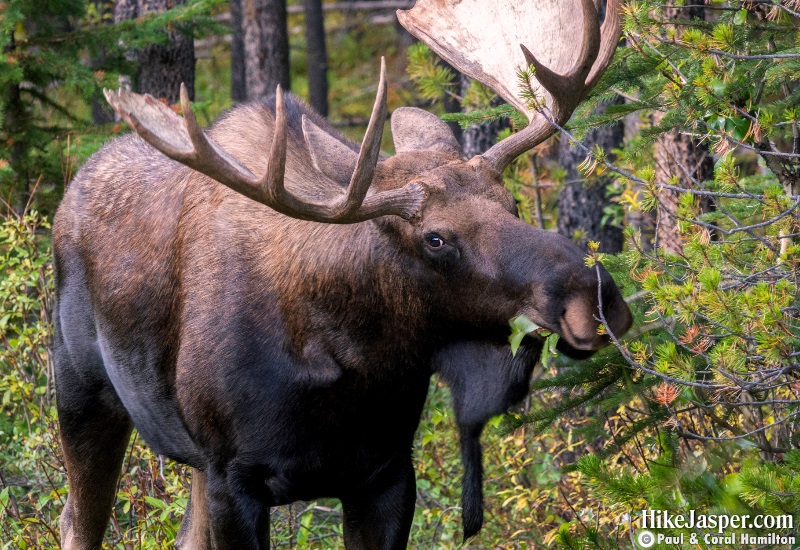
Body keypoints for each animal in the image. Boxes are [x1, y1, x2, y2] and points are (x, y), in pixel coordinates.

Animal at [53, 0, 636, 548]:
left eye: (511, 202)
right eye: (436, 238)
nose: (595, 295)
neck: (346, 369)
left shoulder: (386, 471)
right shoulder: (233, 476)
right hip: (83, 395)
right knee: (75, 522)